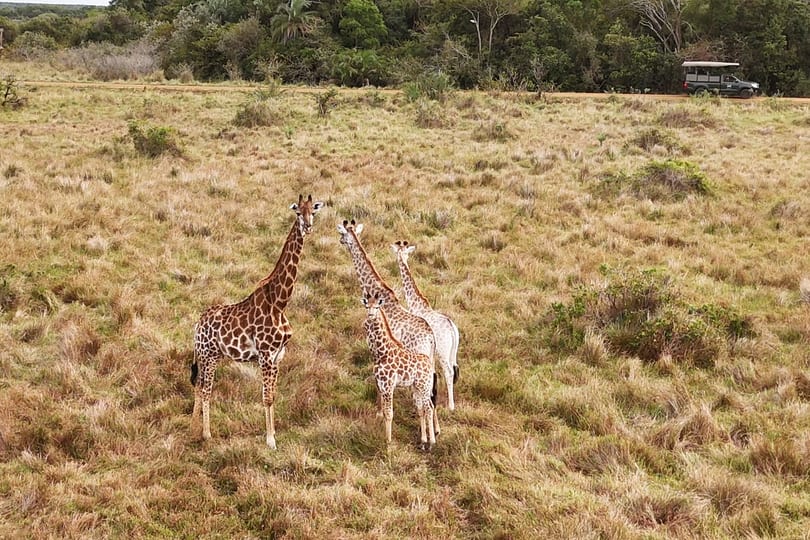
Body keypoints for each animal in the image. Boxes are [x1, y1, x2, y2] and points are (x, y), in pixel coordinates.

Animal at [190, 194, 323, 448]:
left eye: (313, 211)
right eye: (298, 213)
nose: (308, 227)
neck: (280, 303)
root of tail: (197, 325)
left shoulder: (279, 355)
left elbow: (273, 395)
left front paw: (273, 434)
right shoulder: (265, 355)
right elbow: (267, 397)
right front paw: (270, 440)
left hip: (211, 356)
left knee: (198, 386)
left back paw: (192, 423)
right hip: (208, 355)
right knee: (205, 389)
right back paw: (205, 434)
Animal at [363, 292, 438, 450]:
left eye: (377, 306)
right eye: (367, 306)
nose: (370, 316)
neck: (382, 353)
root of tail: (428, 362)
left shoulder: (388, 385)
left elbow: (389, 413)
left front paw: (388, 443)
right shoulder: (380, 384)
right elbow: (384, 412)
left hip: (424, 385)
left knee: (428, 407)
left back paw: (431, 442)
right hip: (417, 386)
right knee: (422, 408)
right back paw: (423, 440)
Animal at [391, 240, 460, 411]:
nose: (400, 259)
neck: (416, 304)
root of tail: (452, 330)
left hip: (442, 352)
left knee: (449, 372)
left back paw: (451, 406)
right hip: (452, 352)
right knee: (455, 370)